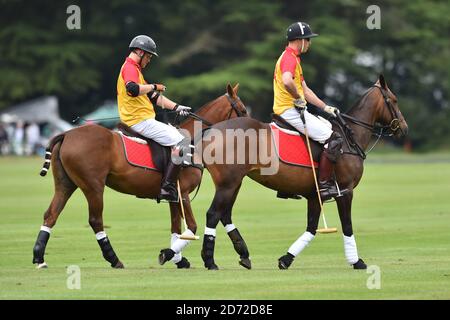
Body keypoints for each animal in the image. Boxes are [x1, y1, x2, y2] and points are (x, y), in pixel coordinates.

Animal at [33, 84, 248, 268]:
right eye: (243, 110)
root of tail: (66, 134)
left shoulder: (173, 196)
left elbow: (175, 229)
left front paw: (178, 259)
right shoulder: (184, 194)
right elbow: (191, 227)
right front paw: (169, 255)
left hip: (66, 184)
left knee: (51, 214)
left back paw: (39, 258)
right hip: (93, 185)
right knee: (95, 220)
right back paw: (114, 260)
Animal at [199, 75, 410, 270]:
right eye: (394, 100)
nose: (404, 128)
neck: (350, 138)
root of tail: (209, 131)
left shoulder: (315, 196)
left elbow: (311, 228)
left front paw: (286, 259)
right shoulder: (345, 190)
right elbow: (347, 226)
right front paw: (357, 262)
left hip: (234, 182)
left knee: (224, 214)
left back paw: (243, 254)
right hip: (228, 183)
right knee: (213, 214)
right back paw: (210, 261)